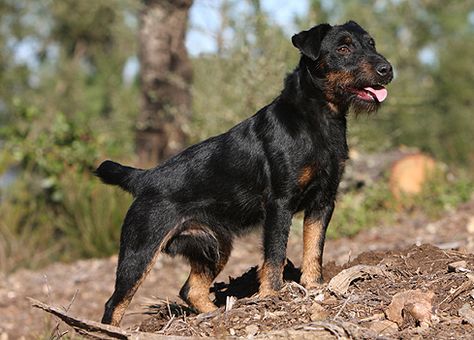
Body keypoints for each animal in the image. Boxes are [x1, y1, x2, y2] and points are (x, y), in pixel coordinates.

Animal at [96, 19, 392, 326]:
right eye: (343, 48)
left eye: (371, 43)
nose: (387, 69)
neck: (319, 118)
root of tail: (145, 178)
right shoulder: (280, 205)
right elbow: (275, 255)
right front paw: (272, 296)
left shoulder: (322, 203)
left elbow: (314, 249)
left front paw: (314, 287)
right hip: (140, 250)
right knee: (115, 303)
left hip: (215, 244)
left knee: (190, 289)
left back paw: (218, 314)